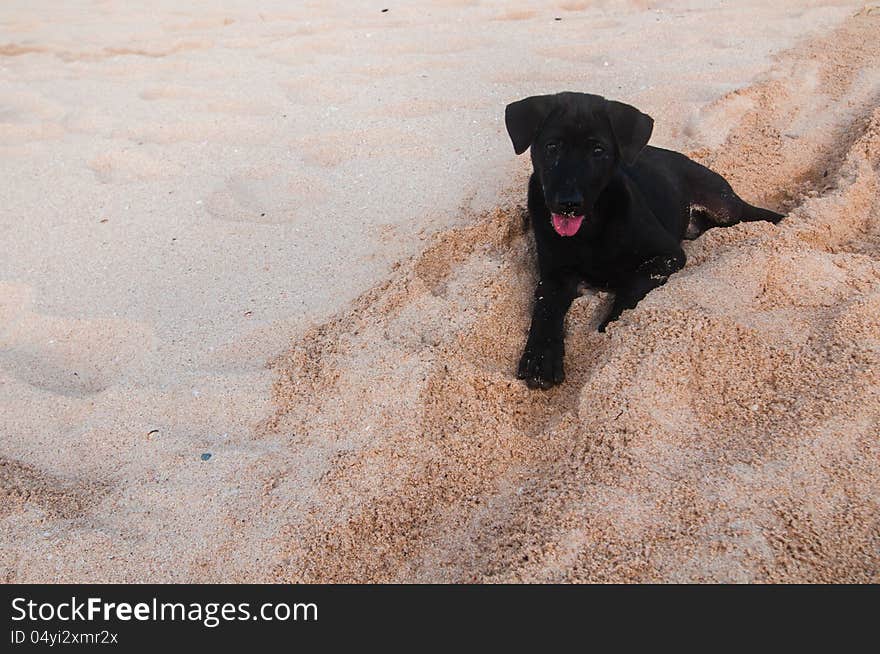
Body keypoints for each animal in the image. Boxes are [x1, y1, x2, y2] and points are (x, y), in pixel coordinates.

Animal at [506, 92, 780, 390]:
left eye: (598, 150)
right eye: (552, 146)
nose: (568, 204)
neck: (590, 229)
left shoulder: (668, 254)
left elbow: (633, 284)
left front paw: (611, 324)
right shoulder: (554, 274)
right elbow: (545, 307)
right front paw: (540, 357)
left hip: (723, 206)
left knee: (747, 212)